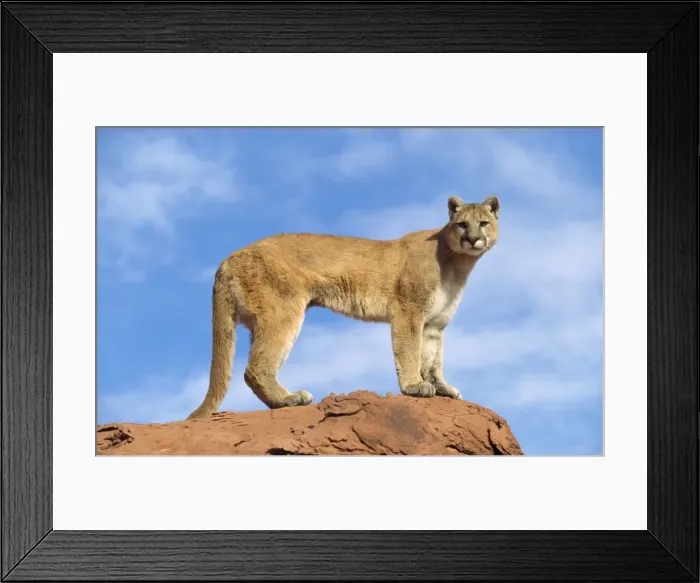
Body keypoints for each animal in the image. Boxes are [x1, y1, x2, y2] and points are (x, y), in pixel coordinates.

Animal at [186, 194, 500, 419]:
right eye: (461, 224)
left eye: (483, 223)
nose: (472, 239)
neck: (457, 263)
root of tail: (227, 260)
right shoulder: (408, 312)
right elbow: (410, 351)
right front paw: (414, 386)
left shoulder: (435, 323)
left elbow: (433, 359)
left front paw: (442, 387)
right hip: (283, 312)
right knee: (256, 367)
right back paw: (290, 399)